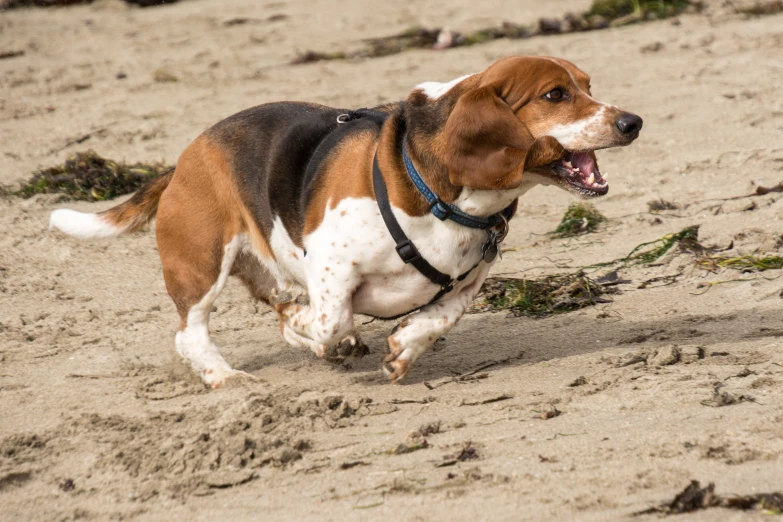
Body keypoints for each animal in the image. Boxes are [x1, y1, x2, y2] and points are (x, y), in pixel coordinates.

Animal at [52, 55, 648, 386]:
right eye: (555, 94)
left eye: (588, 84)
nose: (633, 121)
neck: (438, 194)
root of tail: (182, 161)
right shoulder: (331, 264)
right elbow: (330, 319)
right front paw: (314, 332)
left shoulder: (467, 283)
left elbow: (437, 319)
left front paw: (404, 349)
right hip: (201, 263)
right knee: (192, 333)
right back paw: (228, 376)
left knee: (273, 308)